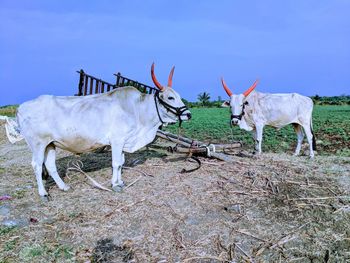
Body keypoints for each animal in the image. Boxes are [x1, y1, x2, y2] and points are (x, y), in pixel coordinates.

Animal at [2, 64, 191, 199]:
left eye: (179, 95)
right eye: (170, 97)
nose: (188, 114)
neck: (137, 110)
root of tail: (21, 107)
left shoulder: (124, 142)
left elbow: (121, 162)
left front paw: (121, 181)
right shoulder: (117, 140)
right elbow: (116, 163)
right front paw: (115, 185)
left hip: (50, 144)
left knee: (50, 165)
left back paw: (63, 187)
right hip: (38, 144)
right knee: (36, 165)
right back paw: (43, 193)